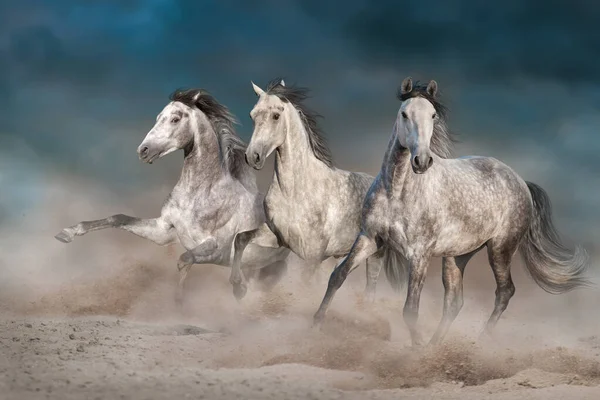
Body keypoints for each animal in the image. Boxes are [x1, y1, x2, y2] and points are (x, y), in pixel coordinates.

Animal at [55, 88, 290, 304]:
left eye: (175, 119)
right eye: (159, 117)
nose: (143, 150)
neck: (199, 196)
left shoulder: (216, 248)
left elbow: (184, 260)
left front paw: (183, 302)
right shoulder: (164, 231)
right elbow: (118, 218)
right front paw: (67, 233)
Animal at [229, 79, 412, 300]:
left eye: (275, 116)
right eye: (252, 115)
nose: (252, 156)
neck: (294, 192)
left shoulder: (312, 255)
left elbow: (306, 283)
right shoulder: (277, 237)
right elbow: (240, 239)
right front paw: (238, 287)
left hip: (374, 252)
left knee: (370, 288)